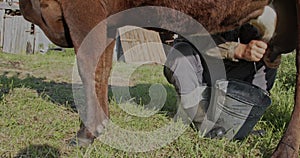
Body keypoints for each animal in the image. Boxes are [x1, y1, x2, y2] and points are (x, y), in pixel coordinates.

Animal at [19, 0, 300, 157]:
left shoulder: (82, 9)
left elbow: (88, 64)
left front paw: (86, 133)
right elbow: (103, 67)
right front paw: (101, 126)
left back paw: (282, 152)